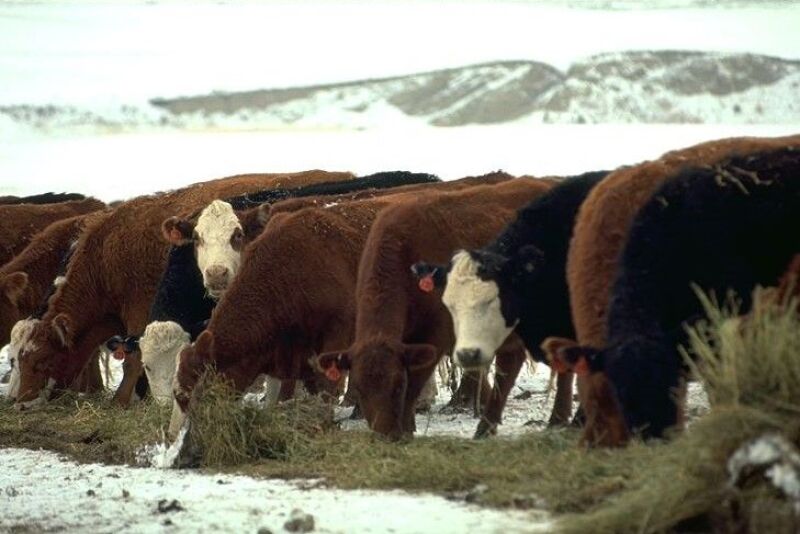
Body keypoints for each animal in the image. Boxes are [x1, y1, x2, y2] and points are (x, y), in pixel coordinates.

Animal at [12, 170, 354, 409]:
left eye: (41, 360)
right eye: (15, 359)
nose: (19, 402)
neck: (106, 257)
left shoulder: (139, 310)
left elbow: (133, 362)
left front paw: (121, 402)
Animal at [169, 174, 520, 438]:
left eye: (194, 392)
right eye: (178, 394)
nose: (178, 437)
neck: (290, 268)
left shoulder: (336, 334)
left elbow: (327, 387)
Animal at [315, 178, 556, 440]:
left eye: (397, 385)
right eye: (358, 389)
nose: (385, 434)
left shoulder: (436, 337)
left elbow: (415, 383)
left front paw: (406, 429)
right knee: (510, 364)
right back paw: (486, 427)